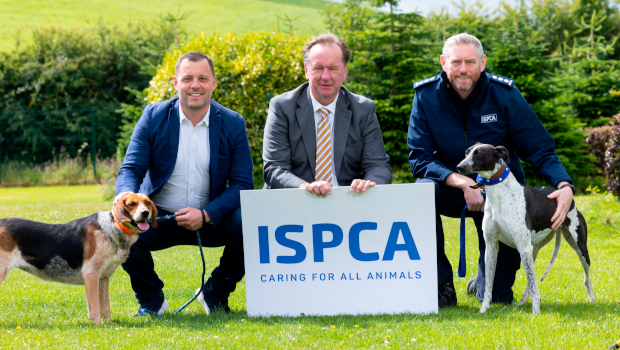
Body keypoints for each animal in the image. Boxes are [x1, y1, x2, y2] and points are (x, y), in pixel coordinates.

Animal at [0, 193, 157, 324]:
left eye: (147, 203)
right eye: (132, 204)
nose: (145, 213)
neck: (112, 228)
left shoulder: (103, 278)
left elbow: (105, 305)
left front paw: (110, 323)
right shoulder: (91, 274)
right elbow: (95, 305)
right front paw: (98, 325)